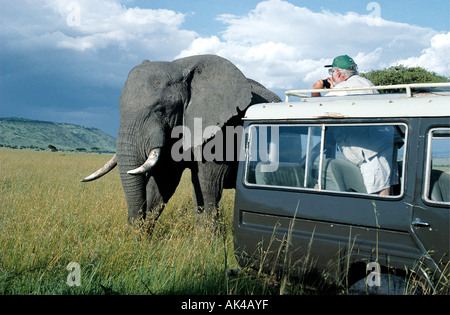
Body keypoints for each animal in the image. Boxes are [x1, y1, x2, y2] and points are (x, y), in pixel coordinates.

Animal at [80, 54, 278, 231]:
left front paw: (206, 241)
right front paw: (142, 239)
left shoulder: (224, 128)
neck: (181, 67)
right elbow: (164, 179)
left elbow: (208, 181)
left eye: (160, 110)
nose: (134, 228)